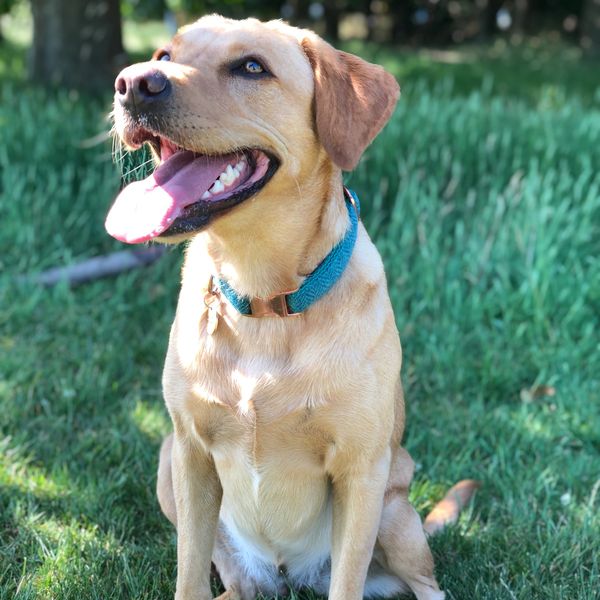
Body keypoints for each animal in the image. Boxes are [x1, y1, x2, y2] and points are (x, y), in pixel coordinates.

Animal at [105, 14, 476, 600]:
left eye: (251, 67)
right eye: (165, 54)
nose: (133, 83)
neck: (262, 301)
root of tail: (290, 573)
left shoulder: (360, 471)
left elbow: (347, 583)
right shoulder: (190, 454)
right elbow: (188, 575)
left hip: (396, 513)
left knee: (425, 585)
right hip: (168, 465)